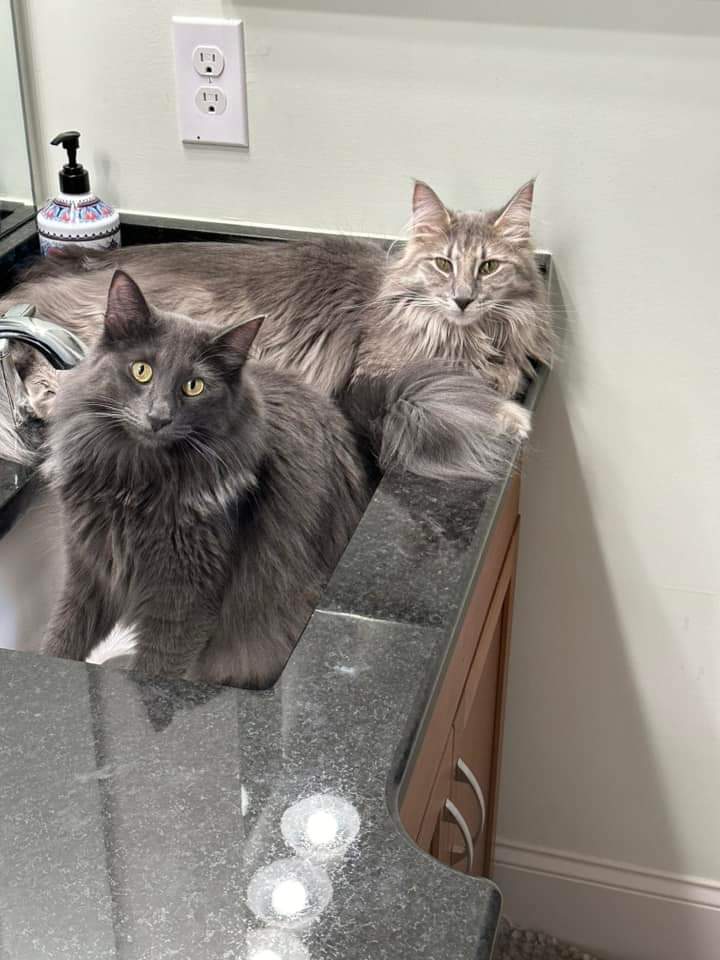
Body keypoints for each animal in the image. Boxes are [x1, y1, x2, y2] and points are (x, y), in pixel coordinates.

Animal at [0, 179, 550, 438]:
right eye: (443, 264)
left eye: (488, 267)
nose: (463, 298)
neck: (468, 338)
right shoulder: (380, 379)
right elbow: (463, 395)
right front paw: (515, 418)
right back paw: (44, 400)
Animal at [42, 269, 370, 688]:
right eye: (141, 370)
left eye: (193, 386)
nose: (158, 417)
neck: (133, 483)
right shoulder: (89, 570)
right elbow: (62, 637)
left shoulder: (184, 602)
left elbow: (155, 669)